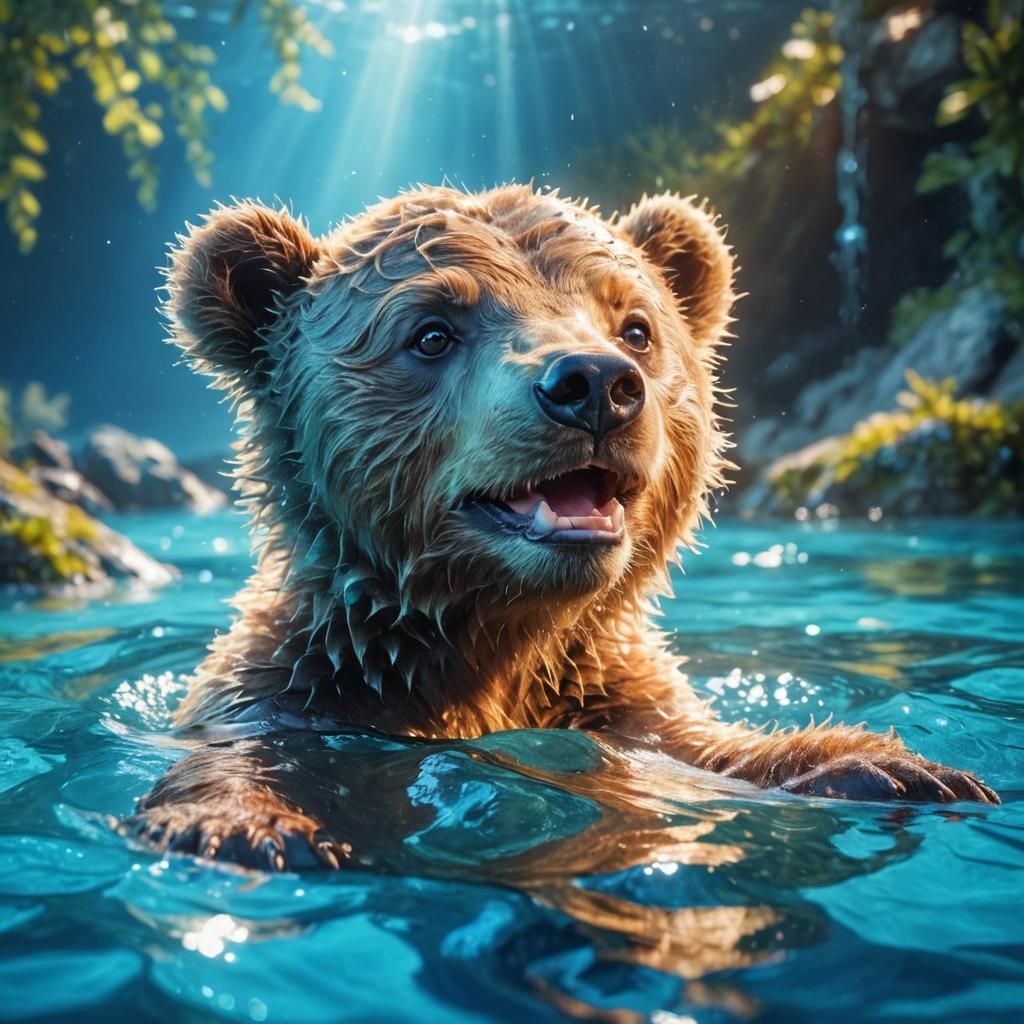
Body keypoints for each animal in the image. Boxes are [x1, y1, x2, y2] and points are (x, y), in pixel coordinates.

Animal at [123, 185, 997, 871]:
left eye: (636, 325)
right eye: (431, 330)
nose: (595, 384)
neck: (493, 643)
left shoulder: (614, 700)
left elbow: (713, 746)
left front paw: (898, 767)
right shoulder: (304, 693)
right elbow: (248, 756)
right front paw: (245, 825)